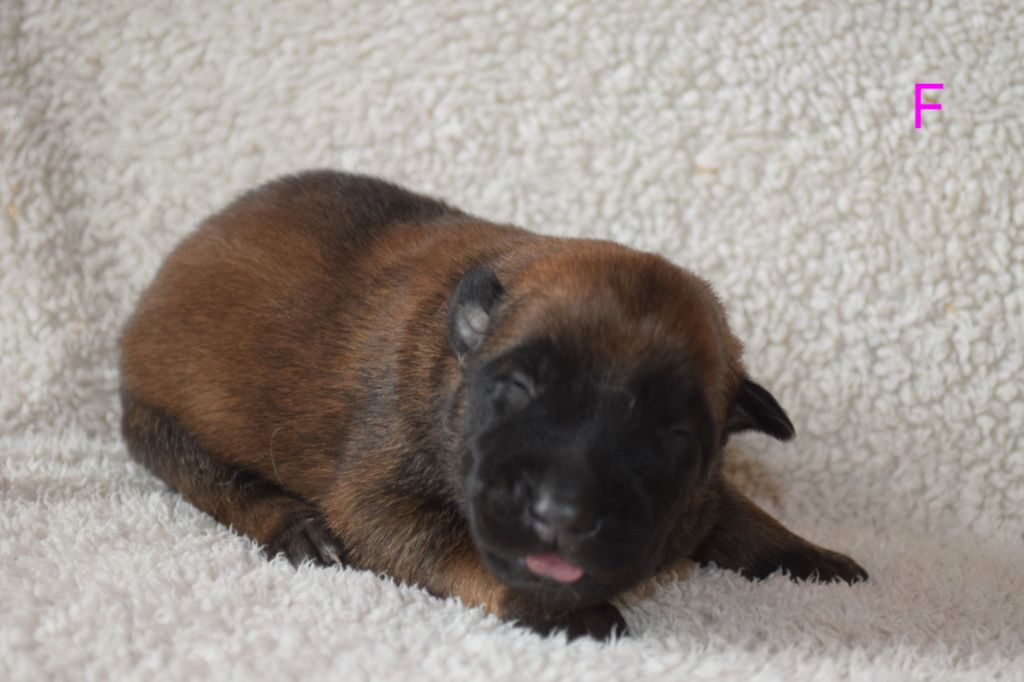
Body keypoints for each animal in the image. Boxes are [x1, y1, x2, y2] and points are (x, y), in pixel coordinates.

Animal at [120, 171, 867, 640]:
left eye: (674, 434)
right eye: (515, 391)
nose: (561, 514)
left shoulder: (703, 495)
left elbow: (740, 516)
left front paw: (810, 556)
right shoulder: (378, 498)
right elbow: (451, 541)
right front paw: (558, 610)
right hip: (164, 423)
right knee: (210, 479)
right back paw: (296, 528)